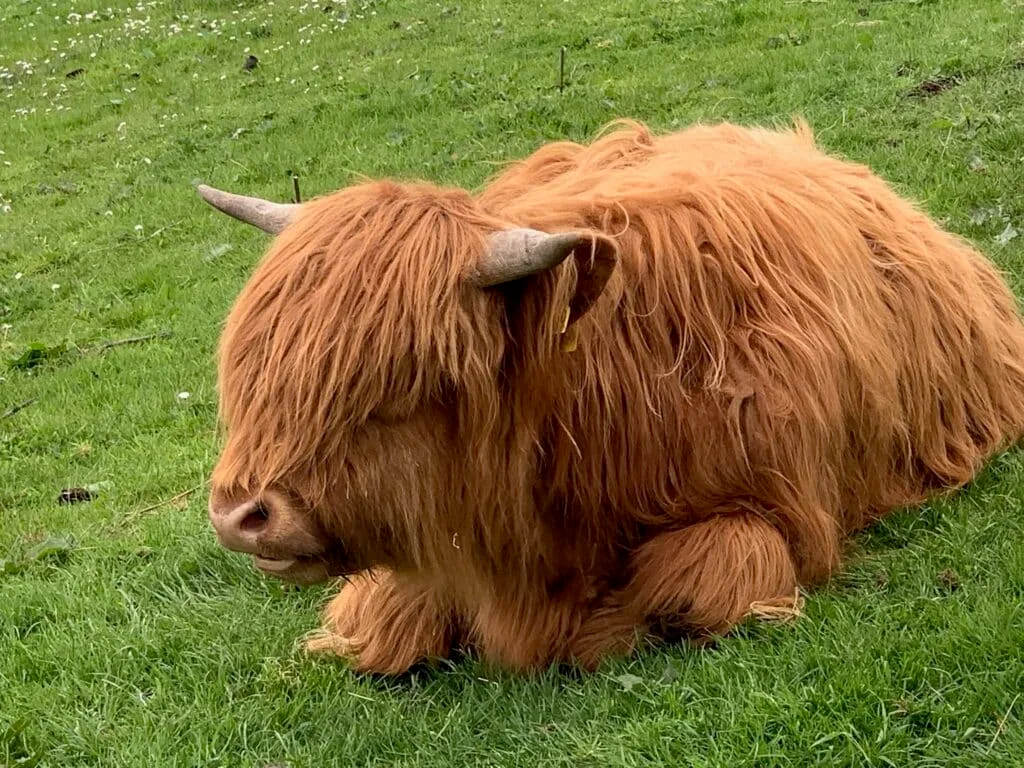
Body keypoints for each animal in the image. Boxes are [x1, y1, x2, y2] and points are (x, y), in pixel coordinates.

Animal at [199, 119, 1024, 675]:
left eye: (403, 380)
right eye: (256, 367)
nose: (243, 516)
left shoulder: (784, 510)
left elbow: (700, 578)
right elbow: (385, 610)